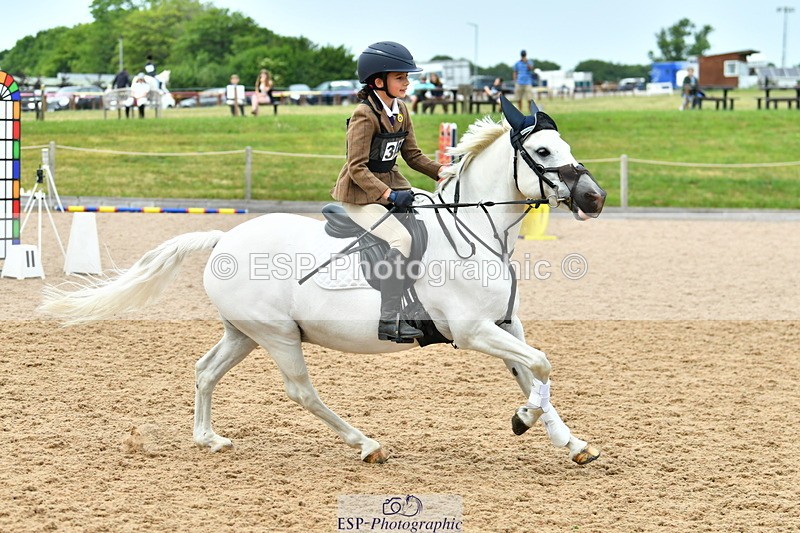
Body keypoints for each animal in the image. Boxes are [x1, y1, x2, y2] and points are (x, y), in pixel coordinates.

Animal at [41, 96, 606, 466]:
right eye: (544, 153)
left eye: (564, 144)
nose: (595, 198)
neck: (477, 230)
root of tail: (223, 239)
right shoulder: (472, 332)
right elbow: (540, 365)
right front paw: (522, 420)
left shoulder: (505, 326)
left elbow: (534, 373)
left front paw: (572, 444)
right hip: (276, 335)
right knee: (301, 391)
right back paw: (366, 445)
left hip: (244, 332)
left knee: (205, 371)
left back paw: (209, 440)